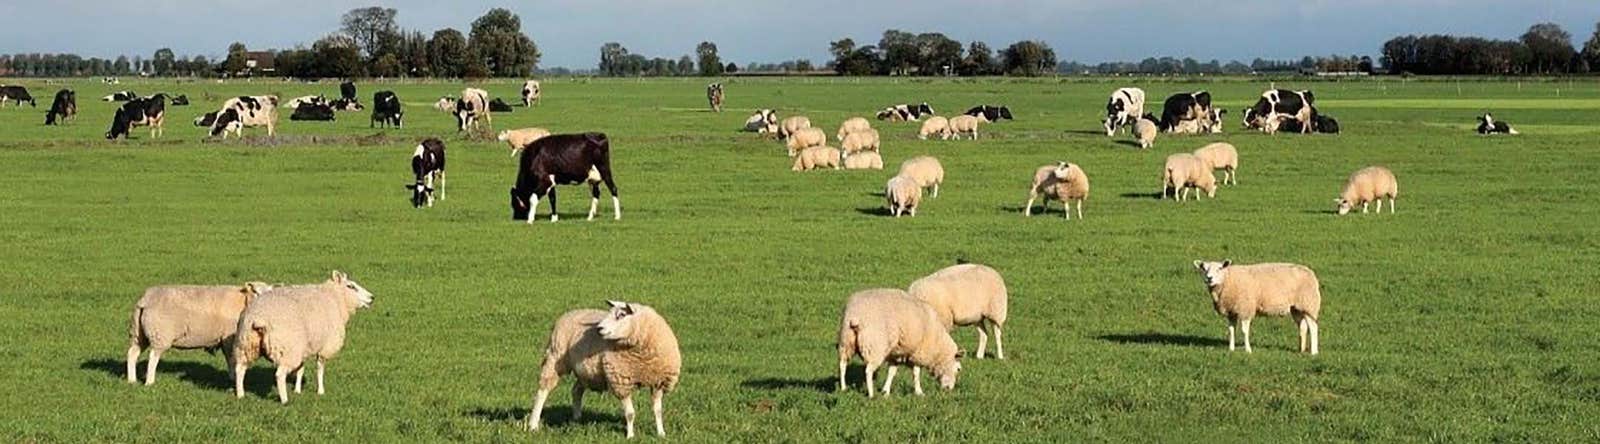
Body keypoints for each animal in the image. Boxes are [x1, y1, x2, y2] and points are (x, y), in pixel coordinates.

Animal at [126, 282, 272, 386]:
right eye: (255, 291)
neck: (243, 302)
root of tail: (146, 299)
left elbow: (229, 358)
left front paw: (231, 378)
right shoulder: (229, 338)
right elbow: (232, 359)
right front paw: (233, 378)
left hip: (138, 333)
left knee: (132, 353)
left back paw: (132, 380)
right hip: (160, 334)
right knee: (153, 357)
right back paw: (150, 382)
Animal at [232, 271, 374, 404]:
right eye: (351, 286)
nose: (372, 297)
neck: (334, 298)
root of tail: (259, 317)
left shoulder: (304, 347)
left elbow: (300, 369)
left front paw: (297, 390)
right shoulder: (324, 347)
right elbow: (320, 369)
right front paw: (320, 391)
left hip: (246, 344)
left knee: (240, 369)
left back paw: (240, 394)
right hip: (287, 349)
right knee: (279, 374)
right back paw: (284, 400)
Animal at [527, 301, 681, 438]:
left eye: (621, 315)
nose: (599, 328)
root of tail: (571, 312)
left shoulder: (658, 382)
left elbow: (658, 411)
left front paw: (661, 433)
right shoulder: (621, 381)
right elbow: (630, 414)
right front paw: (630, 436)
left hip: (586, 372)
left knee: (576, 391)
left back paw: (577, 418)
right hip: (555, 357)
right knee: (542, 391)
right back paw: (533, 425)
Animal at [1192, 260, 1322, 354]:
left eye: (1219, 268)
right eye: (1204, 269)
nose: (1209, 278)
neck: (1228, 280)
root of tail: (1311, 273)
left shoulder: (1245, 309)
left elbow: (1244, 331)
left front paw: (1248, 350)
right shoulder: (1231, 312)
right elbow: (1231, 330)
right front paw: (1231, 349)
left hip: (1308, 304)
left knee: (1313, 327)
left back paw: (1314, 352)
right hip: (1297, 308)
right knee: (1303, 327)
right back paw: (1301, 349)